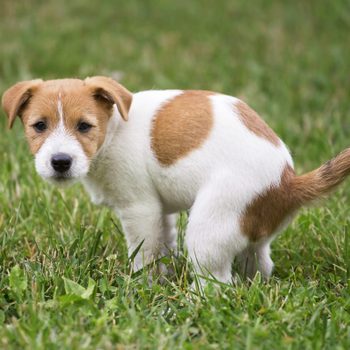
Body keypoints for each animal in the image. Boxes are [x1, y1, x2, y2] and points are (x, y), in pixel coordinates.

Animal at [2, 76, 350, 284]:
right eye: (39, 126)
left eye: (85, 126)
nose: (60, 162)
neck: (115, 128)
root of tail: (287, 182)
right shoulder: (159, 211)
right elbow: (163, 245)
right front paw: (162, 278)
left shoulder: (139, 209)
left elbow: (144, 252)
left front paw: (144, 286)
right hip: (250, 233)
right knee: (259, 264)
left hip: (208, 230)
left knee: (217, 283)